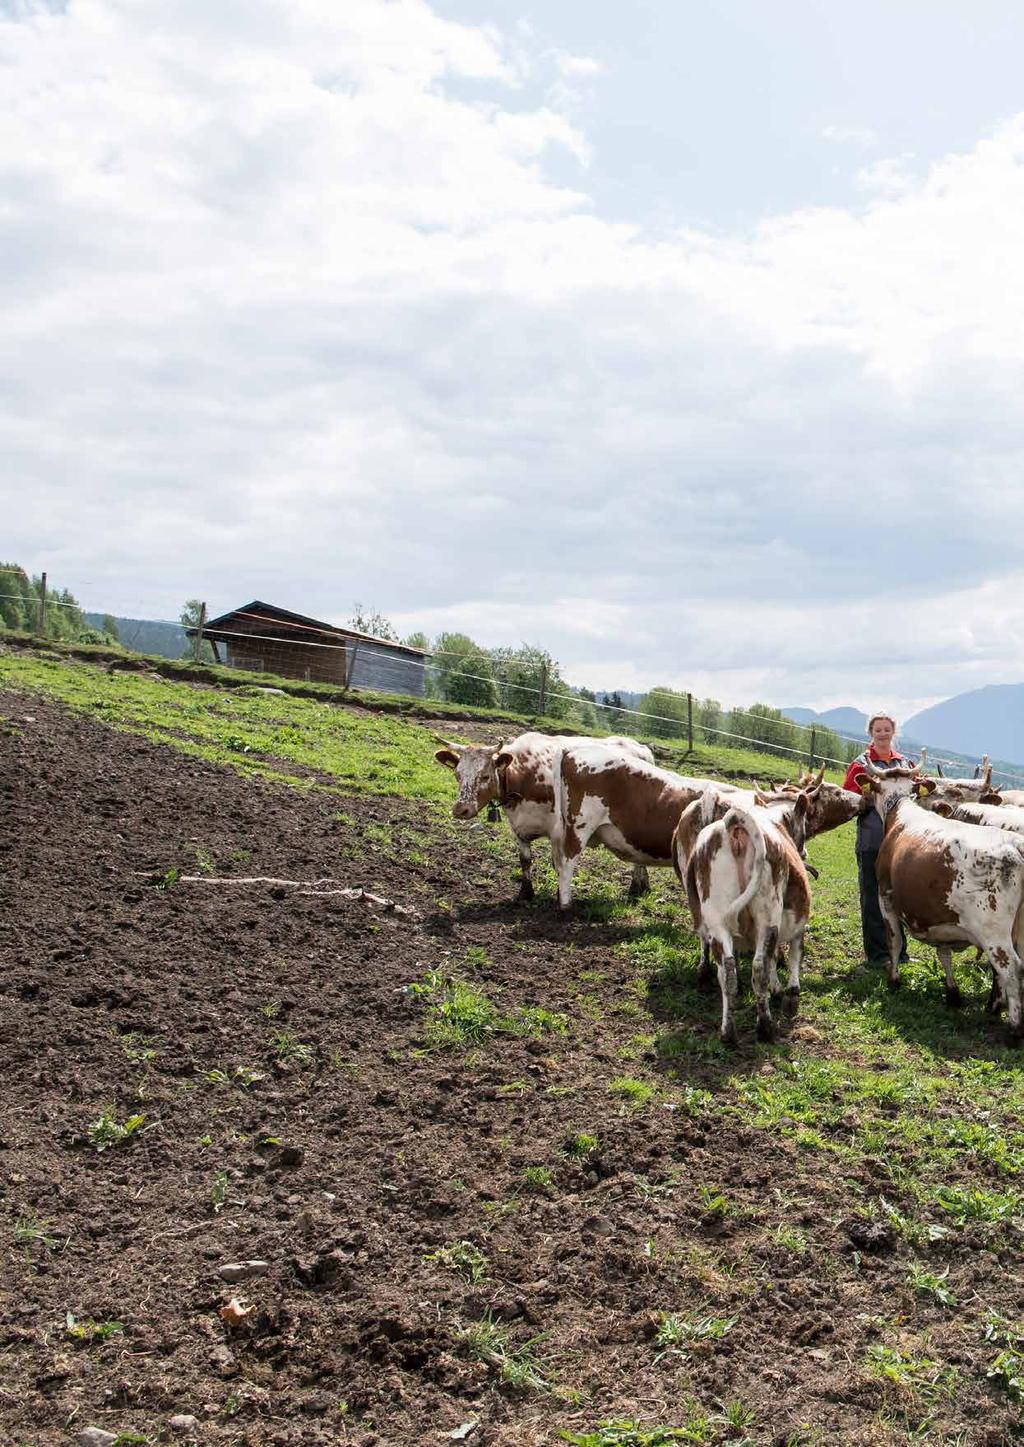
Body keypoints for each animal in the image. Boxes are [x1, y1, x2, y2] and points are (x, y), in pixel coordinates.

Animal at [436, 729, 650, 897]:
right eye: (457, 775)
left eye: (485, 776)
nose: (461, 809)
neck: (524, 774)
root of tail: (641, 748)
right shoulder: (518, 827)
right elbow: (525, 860)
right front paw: (526, 893)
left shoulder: (559, 830)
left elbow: (558, 864)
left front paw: (559, 894)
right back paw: (644, 886)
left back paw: (635, 887)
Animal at [682, 792, 809, 1041]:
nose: (804, 852)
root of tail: (734, 822)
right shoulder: (797, 929)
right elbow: (791, 959)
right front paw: (788, 995)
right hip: (768, 918)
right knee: (759, 967)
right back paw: (766, 1027)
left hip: (716, 920)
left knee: (727, 972)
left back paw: (727, 1033)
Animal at [862, 752, 1024, 1036]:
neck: (900, 807)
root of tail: (1015, 845)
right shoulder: (940, 916)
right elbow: (943, 953)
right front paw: (952, 994)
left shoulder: (886, 897)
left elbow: (894, 940)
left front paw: (894, 980)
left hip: (994, 934)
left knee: (1012, 970)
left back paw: (1013, 1029)